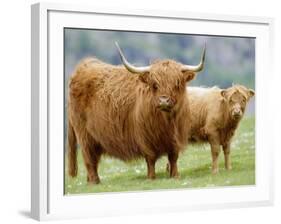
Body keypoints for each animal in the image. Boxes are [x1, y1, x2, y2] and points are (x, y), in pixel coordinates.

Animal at [66, 42, 205, 184]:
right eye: (154, 84)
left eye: (177, 83)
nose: (164, 101)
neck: (166, 122)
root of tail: (84, 65)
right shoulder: (145, 138)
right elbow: (151, 159)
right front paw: (151, 178)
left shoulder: (176, 139)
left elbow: (173, 158)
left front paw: (175, 176)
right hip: (84, 135)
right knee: (89, 159)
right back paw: (95, 182)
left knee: (93, 160)